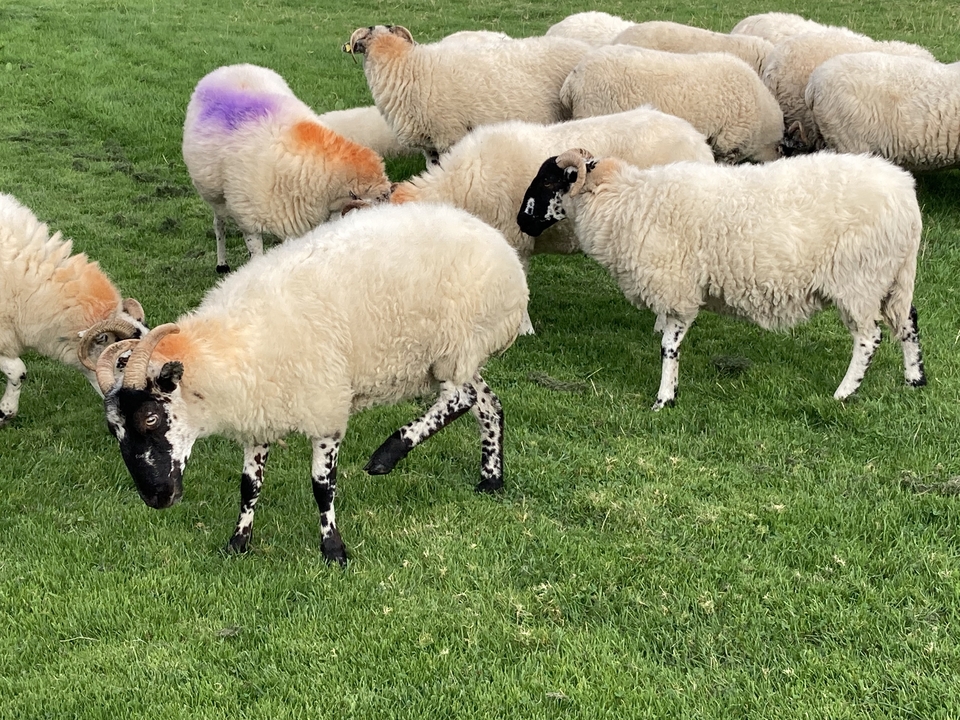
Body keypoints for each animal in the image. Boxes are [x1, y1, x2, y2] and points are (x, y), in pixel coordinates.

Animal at [95, 202, 528, 564]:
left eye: (151, 418)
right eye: (113, 430)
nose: (156, 498)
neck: (229, 350)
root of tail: (503, 250)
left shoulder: (325, 409)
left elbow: (322, 486)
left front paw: (333, 549)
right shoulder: (259, 414)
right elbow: (249, 486)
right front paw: (238, 542)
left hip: (456, 346)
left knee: (461, 398)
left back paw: (387, 454)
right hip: (459, 356)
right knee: (488, 404)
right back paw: (491, 479)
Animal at [182, 63, 392, 273]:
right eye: (379, 197)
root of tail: (232, 67)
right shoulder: (249, 220)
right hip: (215, 196)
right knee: (219, 224)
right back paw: (221, 263)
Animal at [517, 150, 926, 410]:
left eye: (547, 181)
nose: (521, 221)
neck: (625, 201)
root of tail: (906, 194)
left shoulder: (677, 288)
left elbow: (668, 346)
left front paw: (664, 398)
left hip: (859, 278)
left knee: (868, 338)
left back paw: (844, 392)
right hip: (894, 277)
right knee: (908, 322)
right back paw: (914, 378)